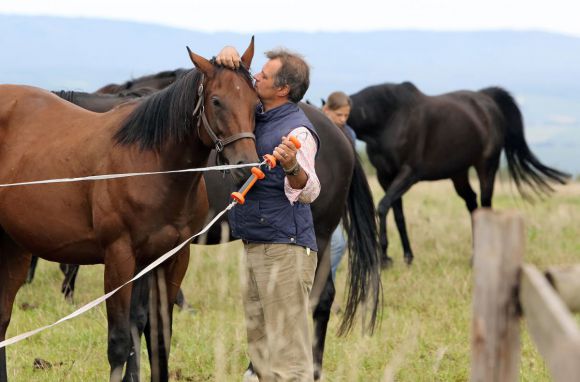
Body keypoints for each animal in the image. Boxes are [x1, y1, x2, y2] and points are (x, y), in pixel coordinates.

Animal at [0, 39, 258, 382]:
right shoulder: (119, 258)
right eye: (216, 101)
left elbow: (157, 335)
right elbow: (120, 342)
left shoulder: (169, 259)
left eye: (256, 104)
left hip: (14, 249)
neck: (151, 166)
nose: (245, 167)